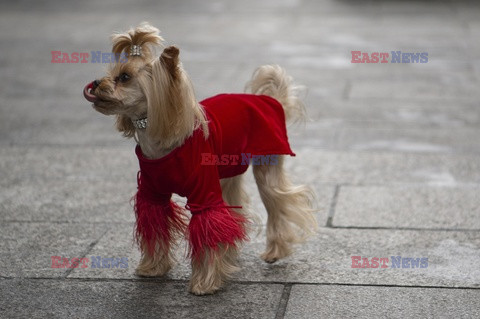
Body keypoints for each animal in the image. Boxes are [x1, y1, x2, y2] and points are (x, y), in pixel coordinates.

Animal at [84, 23, 316, 296]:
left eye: (125, 77)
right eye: (110, 73)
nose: (95, 83)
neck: (160, 141)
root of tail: (269, 99)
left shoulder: (204, 195)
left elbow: (206, 229)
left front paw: (204, 283)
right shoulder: (152, 194)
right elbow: (155, 226)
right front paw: (153, 267)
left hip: (266, 166)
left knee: (278, 201)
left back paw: (274, 251)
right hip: (227, 171)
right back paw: (230, 254)